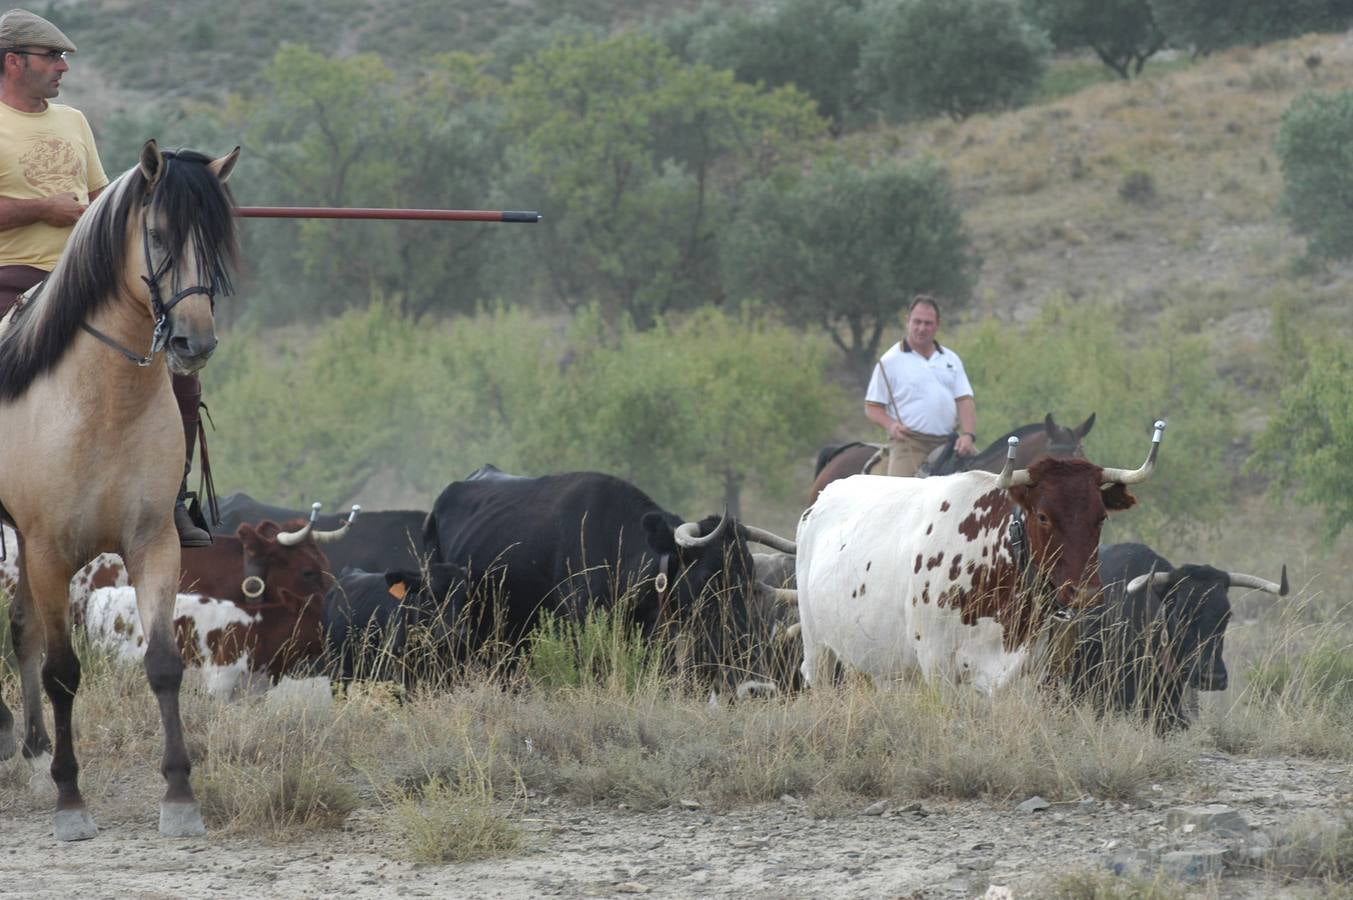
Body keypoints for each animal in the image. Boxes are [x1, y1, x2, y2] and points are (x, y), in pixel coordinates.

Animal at [0, 138, 240, 833]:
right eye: (157, 235)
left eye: (217, 242)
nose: (193, 341)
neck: (101, 402)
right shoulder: (50, 551)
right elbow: (63, 670)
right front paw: (71, 799)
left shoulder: (152, 542)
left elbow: (162, 664)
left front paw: (180, 795)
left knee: (21, 627)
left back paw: (32, 749)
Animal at [795, 424, 1168, 690]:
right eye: (1043, 516)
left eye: (1101, 517)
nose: (1085, 593)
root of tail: (825, 494)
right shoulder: (938, 667)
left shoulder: (1025, 673)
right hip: (818, 650)